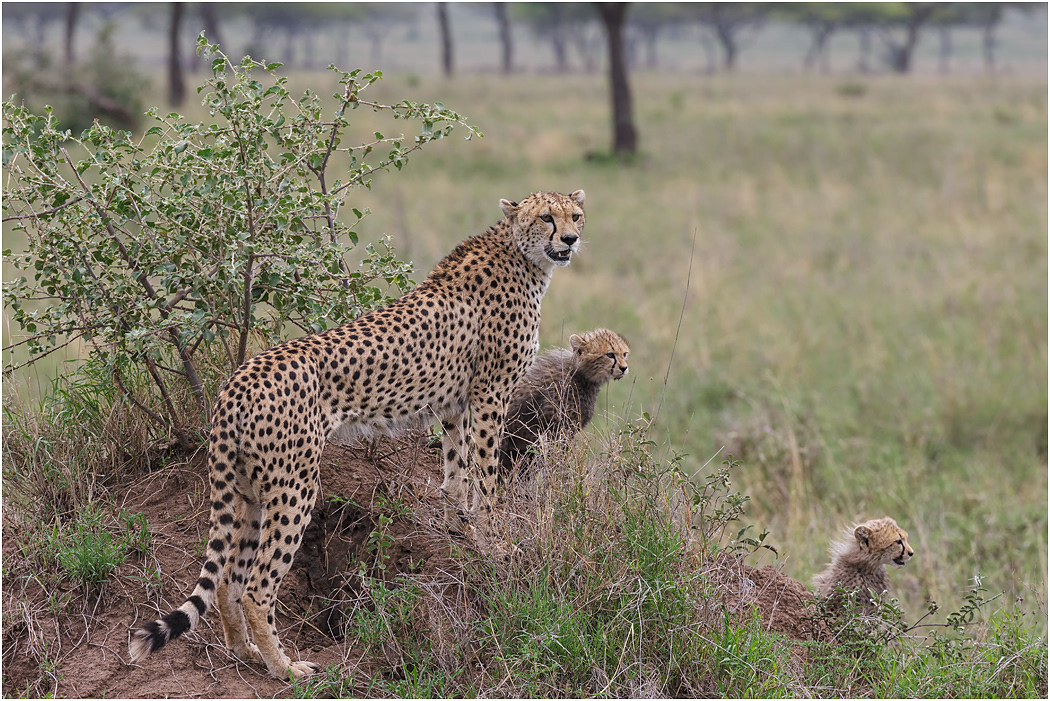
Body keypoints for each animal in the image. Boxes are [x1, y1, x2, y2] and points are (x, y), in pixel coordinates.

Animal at [128, 189, 587, 680]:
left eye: (575, 215)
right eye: (547, 217)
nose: (571, 239)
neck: (523, 256)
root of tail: (238, 378)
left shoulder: (455, 404)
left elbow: (455, 474)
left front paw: (461, 531)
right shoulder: (490, 395)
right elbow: (485, 478)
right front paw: (496, 544)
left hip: (250, 489)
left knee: (229, 576)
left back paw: (244, 651)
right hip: (294, 486)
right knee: (256, 586)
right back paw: (284, 668)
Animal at [498, 328, 629, 479]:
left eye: (624, 354)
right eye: (610, 354)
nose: (624, 368)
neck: (579, 374)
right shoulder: (557, 431)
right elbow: (558, 460)